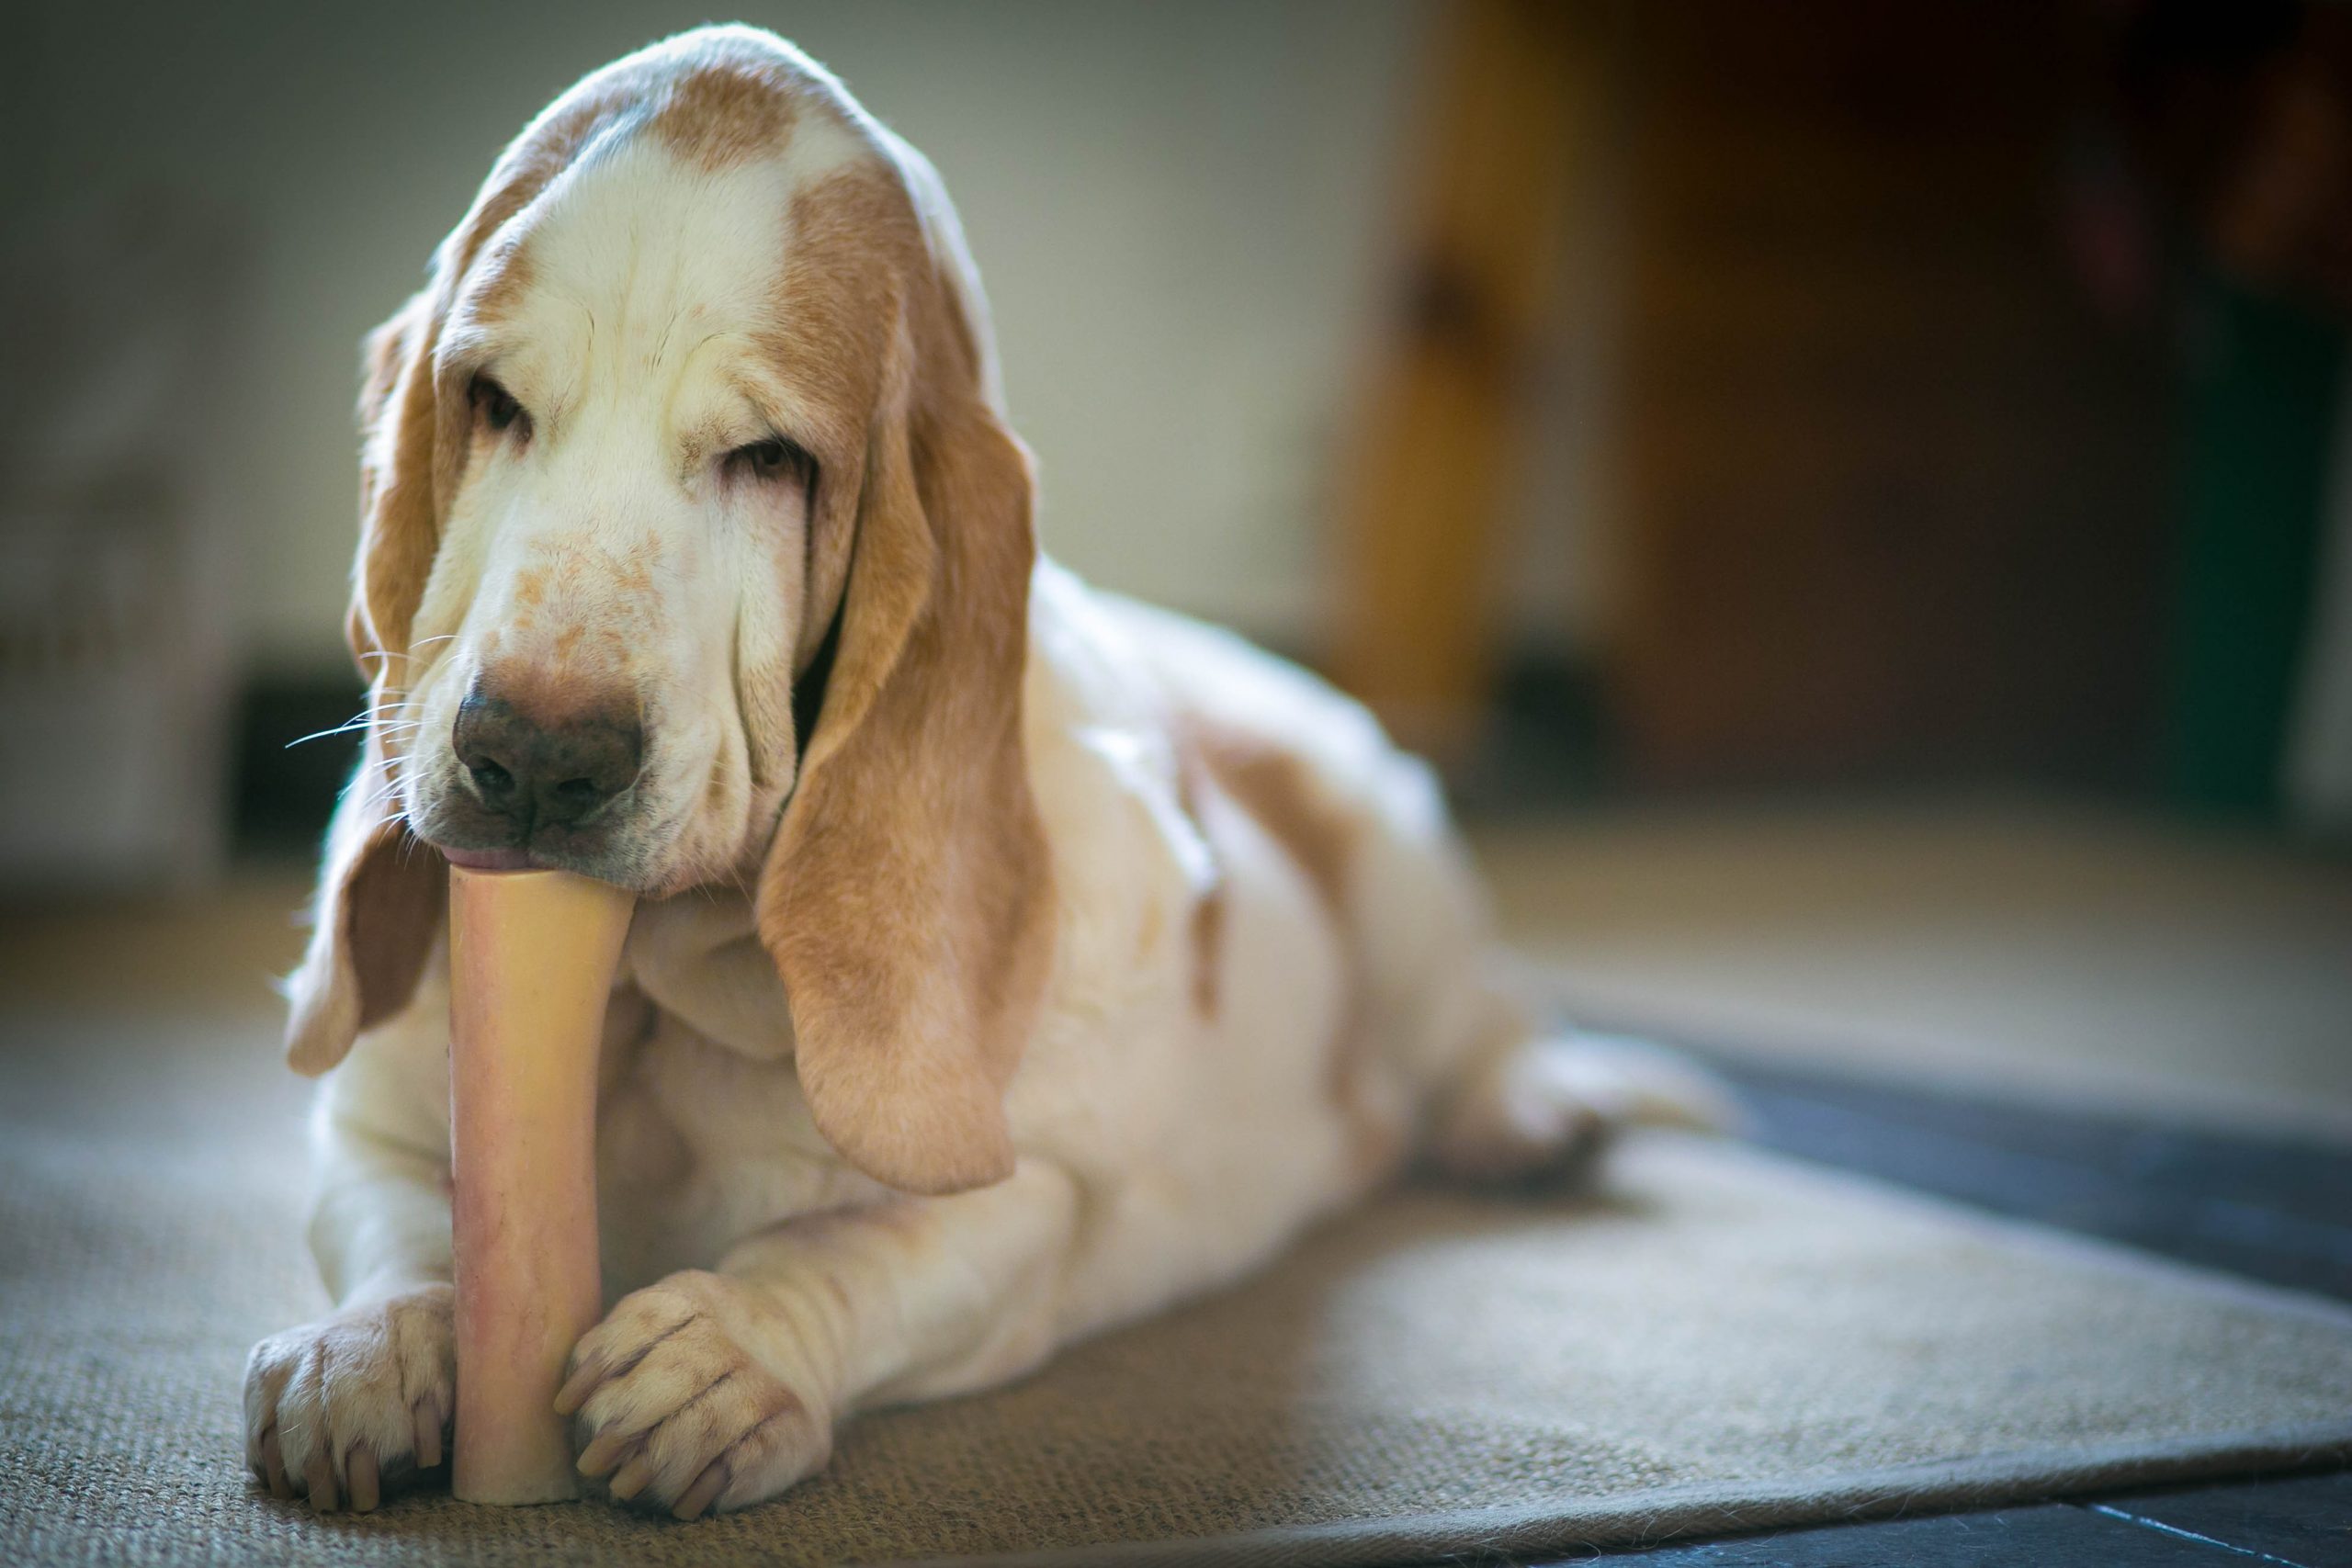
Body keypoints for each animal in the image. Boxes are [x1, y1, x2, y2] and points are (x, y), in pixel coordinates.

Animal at [243, 24, 1712, 1523]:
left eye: (769, 457)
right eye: (491, 401)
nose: (535, 757)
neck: (652, 1001)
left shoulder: (1040, 1204)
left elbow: (864, 1247)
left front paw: (729, 1353)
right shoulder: (364, 1122)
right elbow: (412, 1221)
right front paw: (368, 1347)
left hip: (1397, 848)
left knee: (1478, 1020)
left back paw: (1535, 1109)